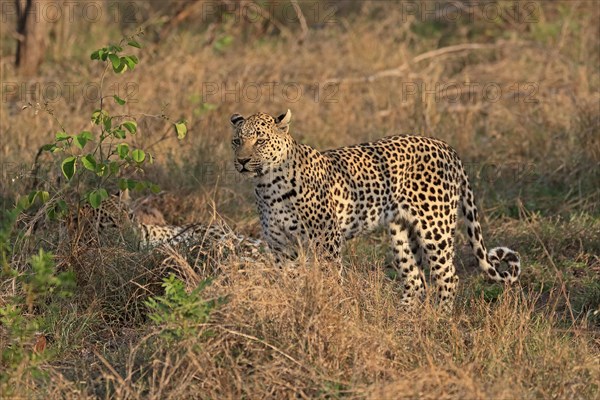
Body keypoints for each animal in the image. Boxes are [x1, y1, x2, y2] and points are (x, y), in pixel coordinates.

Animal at [230, 108, 520, 310]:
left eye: (260, 141)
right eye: (236, 141)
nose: (241, 161)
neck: (269, 185)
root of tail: (446, 146)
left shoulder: (326, 241)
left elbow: (331, 280)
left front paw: (330, 311)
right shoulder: (280, 245)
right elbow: (288, 281)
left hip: (435, 227)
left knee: (448, 276)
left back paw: (440, 318)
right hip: (402, 234)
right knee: (415, 279)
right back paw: (403, 318)